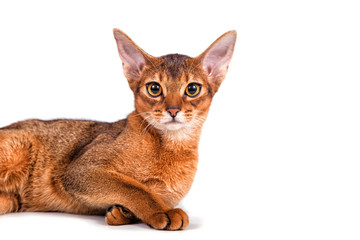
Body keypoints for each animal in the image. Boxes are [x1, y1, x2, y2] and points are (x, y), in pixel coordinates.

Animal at [0, 29, 236, 230]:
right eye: (154, 88)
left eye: (192, 89)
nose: (173, 110)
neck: (169, 146)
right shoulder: (80, 170)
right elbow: (133, 187)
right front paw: (162, 211)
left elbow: (143, 189)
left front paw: (120, 212)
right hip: (20, 146)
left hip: (12, 200)